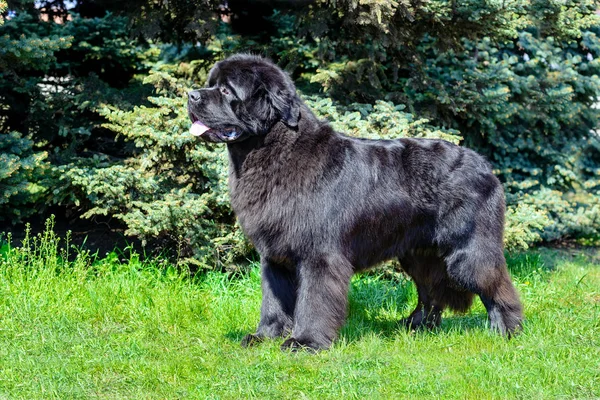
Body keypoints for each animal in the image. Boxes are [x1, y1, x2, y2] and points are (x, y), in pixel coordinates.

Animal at [186, 54, 520, 350]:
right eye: (210, 84)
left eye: (226, 90)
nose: (190, 95)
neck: (273, 150)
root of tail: (484, 165)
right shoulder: (274, 255)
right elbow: (273, 301)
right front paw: (264, 337)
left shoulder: (319, 254)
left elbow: (313, 300)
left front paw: (305, 342)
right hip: (418, 252)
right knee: (430, 289)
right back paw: (416, 326)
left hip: (468, 249)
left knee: (495, 285)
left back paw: (506, 332)